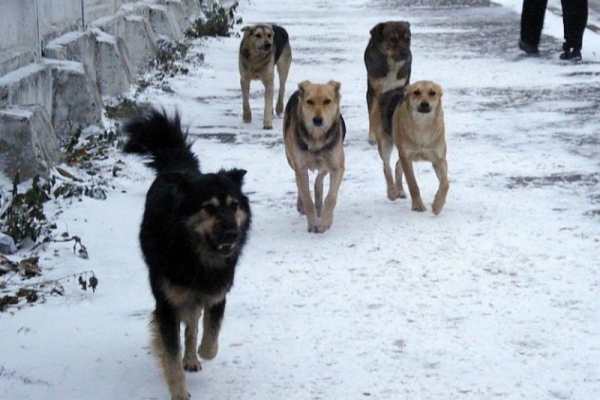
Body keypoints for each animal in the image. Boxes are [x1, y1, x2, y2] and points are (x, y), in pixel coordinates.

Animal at [120, 107, 252, 400]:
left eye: (234, 205)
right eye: (209, 208)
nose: (232, 235)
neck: (195, 255)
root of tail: (178, 169)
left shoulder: (216, 294)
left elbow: (210, 339)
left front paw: (199, 352)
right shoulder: (167, 304)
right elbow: (170, 355)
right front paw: (179, 392)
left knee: (193, 323)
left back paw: (191, 357)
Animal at [282, 79, 344, 233]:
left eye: (327, 101)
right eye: (309, 102)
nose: (317, 120)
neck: (317, 139)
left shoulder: (337, 166)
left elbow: (331, 197)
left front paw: (325, 222)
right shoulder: (300, 166)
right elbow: (307, 198)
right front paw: (313, 224)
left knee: (319, 178)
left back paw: (319, 204)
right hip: (290, 158)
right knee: (300, 182)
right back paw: (302, 205)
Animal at [392, 79, 448, 214]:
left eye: (433, 92)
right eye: (416, 92)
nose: (424, 104)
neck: (422, 126)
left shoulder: (439, 159)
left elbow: (445, 183)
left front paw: (438, 205)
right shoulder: (406, 157)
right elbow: (413, 184)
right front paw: (418, 205)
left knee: (397, 164)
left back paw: (400, 190)